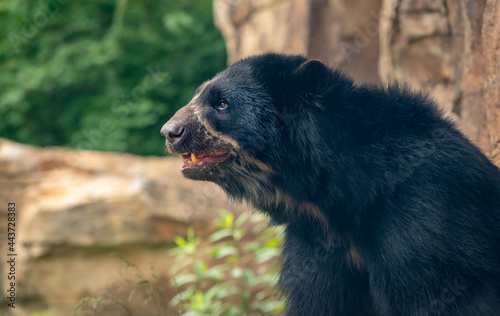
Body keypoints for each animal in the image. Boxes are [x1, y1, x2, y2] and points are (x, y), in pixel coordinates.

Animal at [161, 54, 500, 316]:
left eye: (222, 104)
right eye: (198, 97)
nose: (170, 131)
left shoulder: (426, 221)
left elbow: (438, 296)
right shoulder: (317, 248)